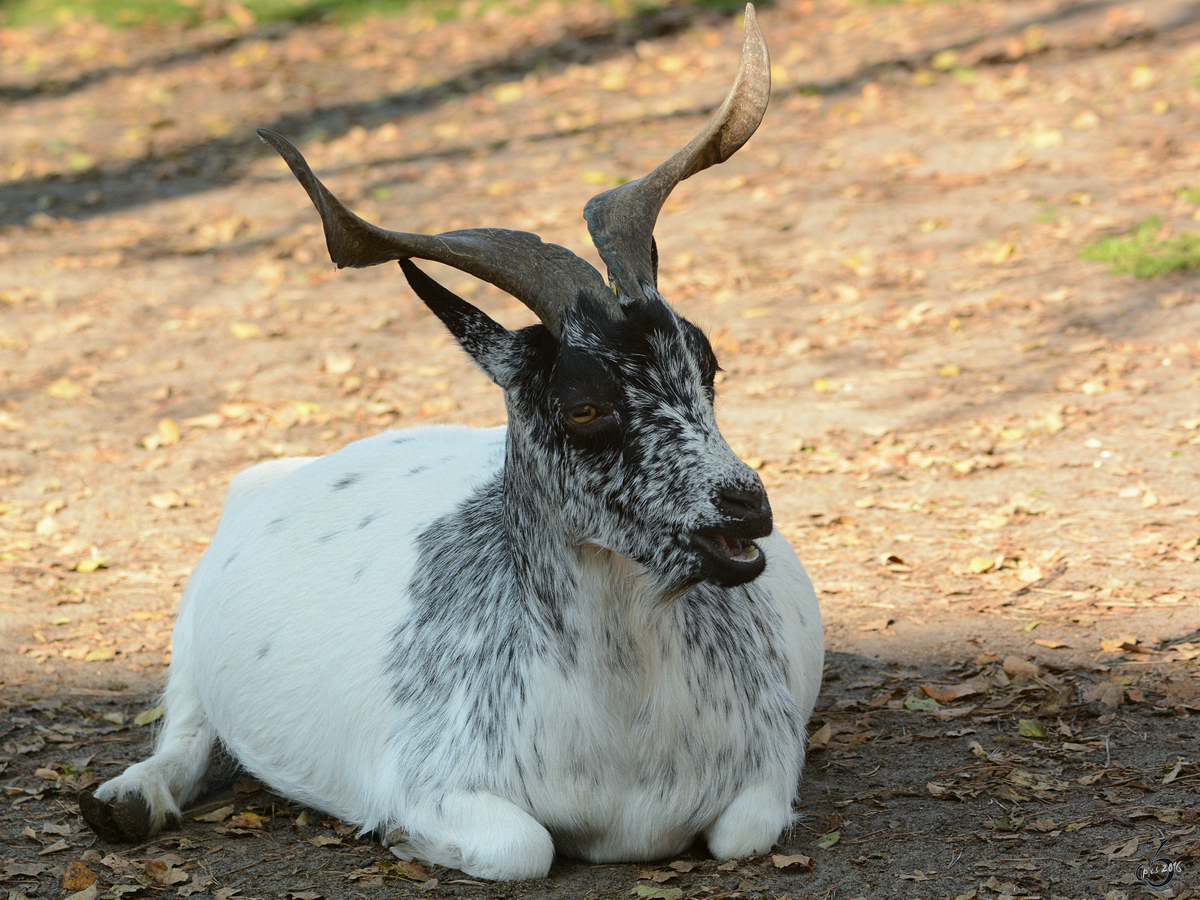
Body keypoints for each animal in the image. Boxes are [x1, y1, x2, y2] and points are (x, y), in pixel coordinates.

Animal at [77, 7, 825, 883]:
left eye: (705, 365)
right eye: (582, 405)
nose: (745, 504)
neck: (622, 740)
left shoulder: (767, 770)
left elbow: (742, 834)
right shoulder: (437, 782)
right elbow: (523, 846)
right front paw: (401, 836)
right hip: (192, 628)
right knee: (189, 730)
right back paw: (127, 800)